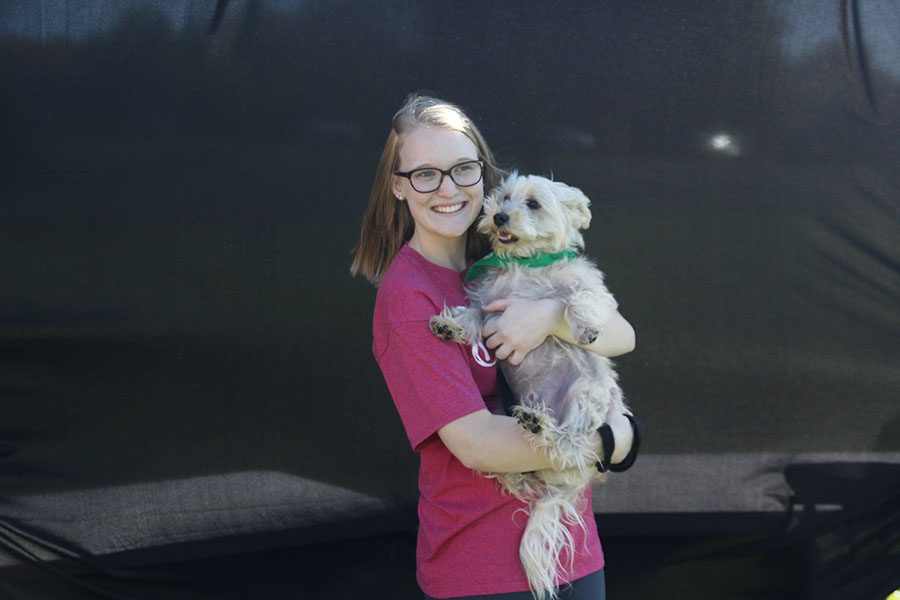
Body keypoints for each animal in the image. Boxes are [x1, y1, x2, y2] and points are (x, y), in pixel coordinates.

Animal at [430, 172, 624, 600]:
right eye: (503, 197)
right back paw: (525, 450)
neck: (524, 263)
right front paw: (450, 324)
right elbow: (471, 314)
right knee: (512, 469)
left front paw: (585, 326)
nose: (499, 216)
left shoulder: (592, 288)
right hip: (497, 410)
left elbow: (579, 297)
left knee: (569, 442)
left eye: (533, 204)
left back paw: (543, 426)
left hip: (584, 395)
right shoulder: (488, 309)